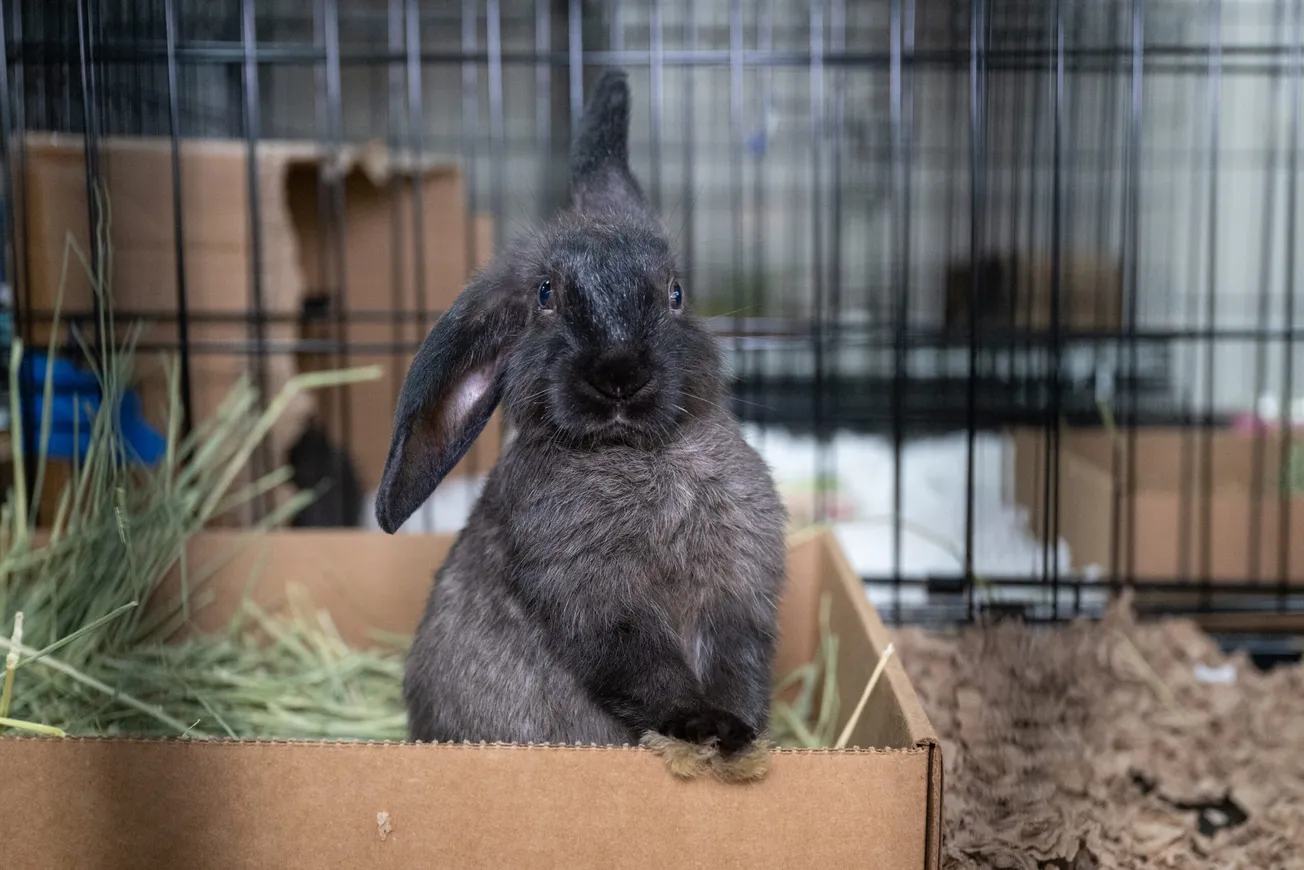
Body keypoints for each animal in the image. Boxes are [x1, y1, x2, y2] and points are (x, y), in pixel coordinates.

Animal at [372, 66, 787, 777]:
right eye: (546, 296)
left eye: (676, 293)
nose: (619, 373)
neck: (638, 454)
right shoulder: (596, 607)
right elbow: (645, 671)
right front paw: (706, 728)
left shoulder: (738, 602)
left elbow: (738, 670)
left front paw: (738, 736)